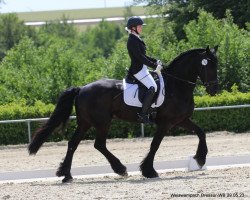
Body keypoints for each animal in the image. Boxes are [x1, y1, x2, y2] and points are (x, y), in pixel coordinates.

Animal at [27, 45, 219, 183]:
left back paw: (66, 174)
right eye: (208, 65)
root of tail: (81, 89)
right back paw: (120, 169)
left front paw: (200, 159)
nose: (214, 90)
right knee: (98, 144)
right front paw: (149, 171)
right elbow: (155, 145)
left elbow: (201, 132)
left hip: (85, 122)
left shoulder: (181, 120)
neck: (177, 85)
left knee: (74, 144)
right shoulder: (166, 123)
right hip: (102, 122)